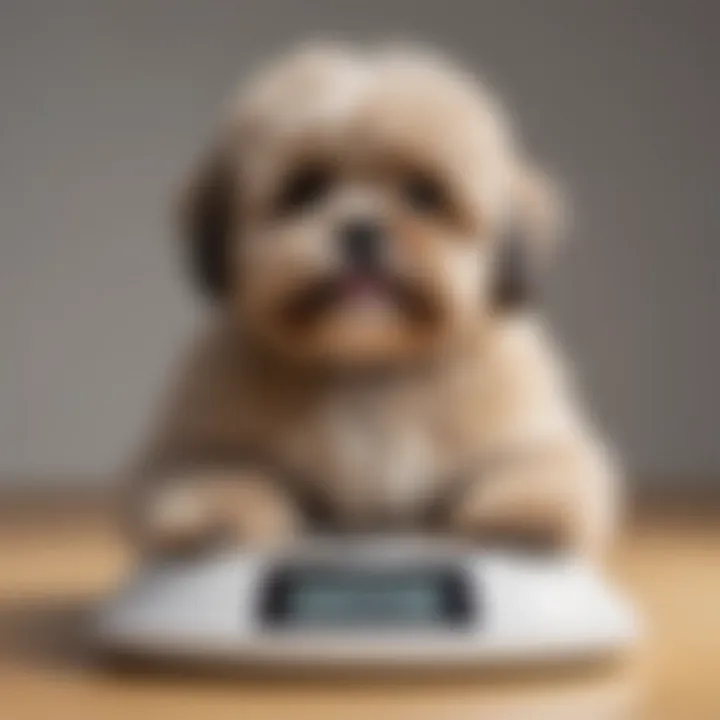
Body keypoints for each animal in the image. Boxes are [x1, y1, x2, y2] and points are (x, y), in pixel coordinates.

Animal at [128, 45, 620, 560]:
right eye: (304, 189)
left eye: (424, 193)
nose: (361, 229)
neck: (369, 366)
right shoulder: (193, 443)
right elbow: (216, 474)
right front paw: (210, 516)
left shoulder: (534, 434)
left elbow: (539, 469)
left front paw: (527, 514)